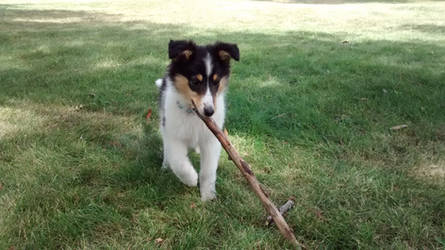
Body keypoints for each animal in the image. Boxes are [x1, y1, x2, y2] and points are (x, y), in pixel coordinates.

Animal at [156, 40, 239, 201]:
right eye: (195, 81)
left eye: (216, 82)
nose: (210, 112)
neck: (193, 114)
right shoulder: (173, 135)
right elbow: (178, 162)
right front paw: (191, 179)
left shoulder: (212, 139)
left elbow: (208, 170)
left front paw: (208, 196)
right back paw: (165, 164)